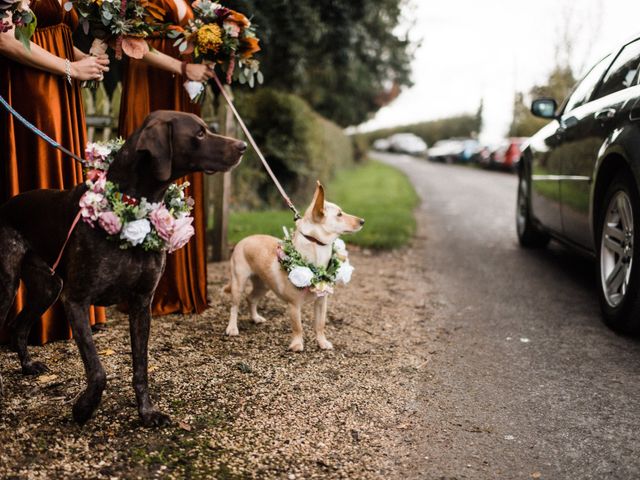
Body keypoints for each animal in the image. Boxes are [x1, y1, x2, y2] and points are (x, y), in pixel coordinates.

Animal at [0, 110, 245, 426]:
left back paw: (28, 366)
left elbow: (141, 367)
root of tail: (6, 205)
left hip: (48, 287)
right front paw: (84, 408)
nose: (243, 146)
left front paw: (147, 413)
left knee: (19, 326)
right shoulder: (77, 301)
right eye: (200, 133)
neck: (133, 200)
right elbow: (98, 370)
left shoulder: (141, 303)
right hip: (9, 284)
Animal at [225, 182, 364, 350]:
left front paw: (322, 342)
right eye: (339, 215)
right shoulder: (294, 305)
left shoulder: (321, 302)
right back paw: (232, 328)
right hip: (238, 283)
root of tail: (244, 239)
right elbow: (298, 327)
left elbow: (320, 325)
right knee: (234, 306)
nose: (363, 221)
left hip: (263, 285)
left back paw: (256, 318)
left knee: (251, 298)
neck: (315, 246)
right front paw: (297, 344)